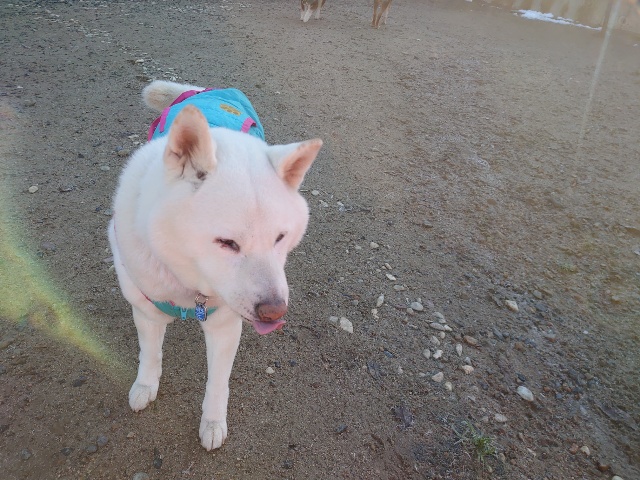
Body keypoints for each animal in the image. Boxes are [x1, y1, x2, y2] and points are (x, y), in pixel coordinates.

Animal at [108, 80, 322, 450]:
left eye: (280, 237)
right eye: (227, 243)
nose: (274, 313)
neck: (190, 290)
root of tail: (200, 89)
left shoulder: (224, 326)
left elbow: (218, 383)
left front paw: (212, 422)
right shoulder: (147, 309)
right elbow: (150, 354)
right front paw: (146, 385)